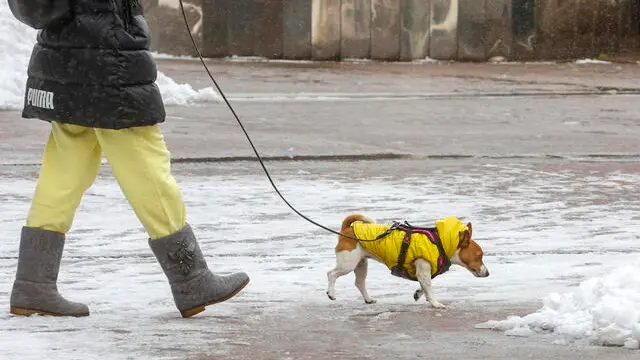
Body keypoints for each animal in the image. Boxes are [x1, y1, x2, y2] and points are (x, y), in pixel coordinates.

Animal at [324, 214, 490, 310]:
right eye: (479, 256)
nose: (488, 273)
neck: (441, 243)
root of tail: (347, 228)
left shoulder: (423, 273)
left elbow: (425, 286)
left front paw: (420, 294)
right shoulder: (423, 269)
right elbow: (429, 287)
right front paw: (435, 303)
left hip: (361, 264)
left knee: (359, 283)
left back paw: (368, 299)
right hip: (348, 264)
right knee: (331, 274)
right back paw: (331, 293)